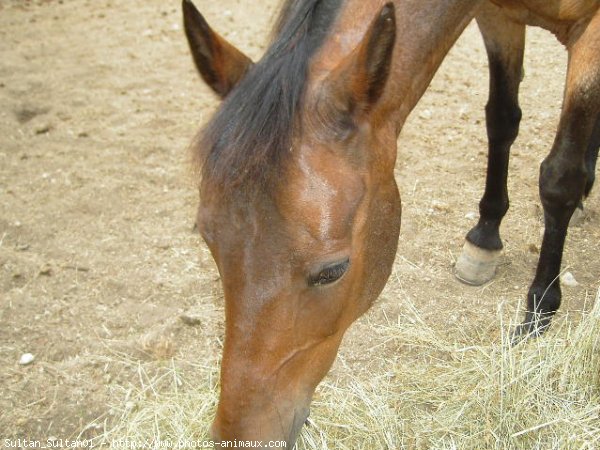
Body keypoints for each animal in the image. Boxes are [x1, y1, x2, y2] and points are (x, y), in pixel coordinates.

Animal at [182, 0, 600, 446]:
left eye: (333, 271)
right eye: (210, 244)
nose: (239, 435)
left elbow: (559, 177)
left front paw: (540, 309)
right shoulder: (496, 18)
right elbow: (501, 120)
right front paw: (486, 234)